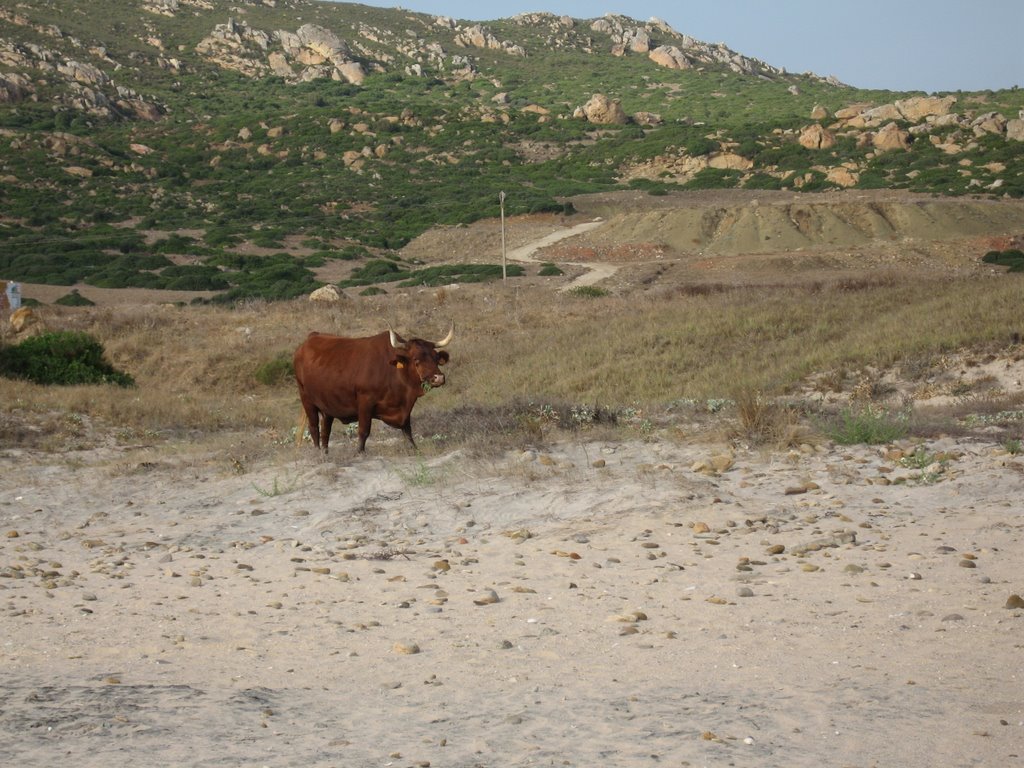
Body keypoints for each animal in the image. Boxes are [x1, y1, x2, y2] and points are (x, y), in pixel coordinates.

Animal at [292, 325, 452, 456]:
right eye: (416, 359)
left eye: (436, 358)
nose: (438, 378)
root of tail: (311, 337)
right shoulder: (365, 402)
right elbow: (364, 431)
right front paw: (360, 452)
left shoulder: (404, 407)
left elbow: (407, 430)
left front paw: (414, 449)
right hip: (306, 399)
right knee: (314, 428)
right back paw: (317, 452)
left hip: (327, 406)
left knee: (325, 430)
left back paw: (325, 454)